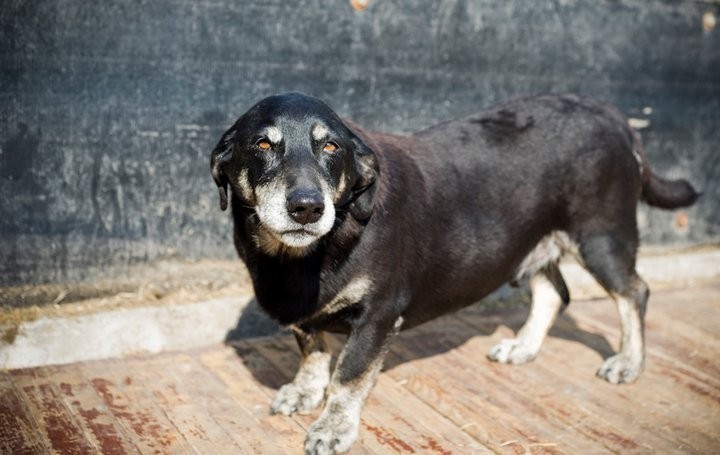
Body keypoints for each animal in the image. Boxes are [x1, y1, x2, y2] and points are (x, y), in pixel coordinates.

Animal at [208, 91, 696, 454]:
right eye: (262, 145)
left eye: (330, 147)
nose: (307, 207)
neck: (307, 255)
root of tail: (612, 113)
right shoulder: (303, 316)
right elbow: (312, 352)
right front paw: (304, 392)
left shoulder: (378, 316)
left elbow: (347, 377)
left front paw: (333, 428)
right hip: (532, 243)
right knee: (554, 292)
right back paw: (523, 347)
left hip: (601, 237)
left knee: (634, 292)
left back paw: (629, 362)